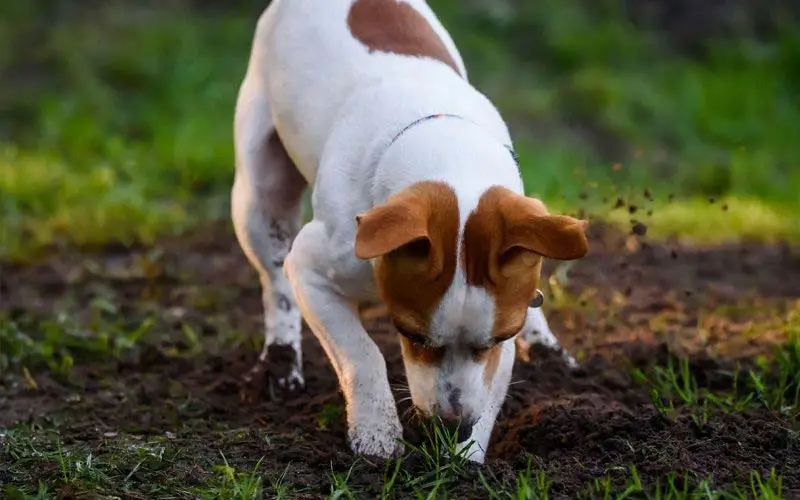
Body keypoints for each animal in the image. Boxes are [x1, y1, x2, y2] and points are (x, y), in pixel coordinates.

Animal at [231, 0, 588, 464]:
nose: (454, 426)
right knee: (275, 283)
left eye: (496, 338)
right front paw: (377, 434)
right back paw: (280, 363)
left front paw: (466, 458)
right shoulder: (310, 270)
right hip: (259, 193)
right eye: (411, 335)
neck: (449, 152)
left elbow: (492, 384)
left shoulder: (506, 321)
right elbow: (361, 353)